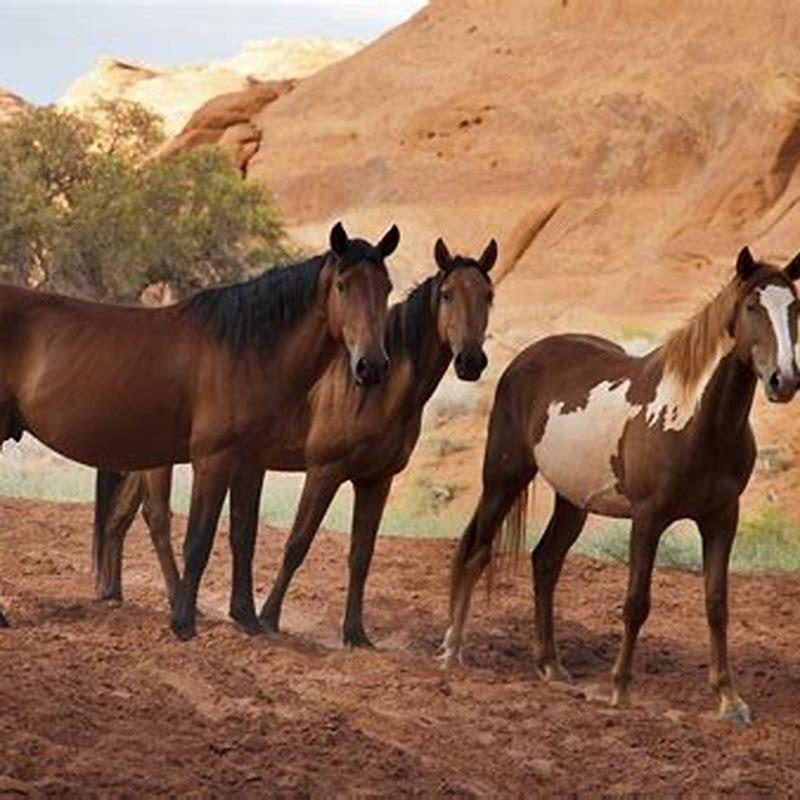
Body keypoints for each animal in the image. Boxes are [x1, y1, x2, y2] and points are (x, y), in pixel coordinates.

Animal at [0, 221, 398, 639]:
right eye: (343, 285)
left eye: (386, 287)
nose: (371, 365)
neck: (246, 351)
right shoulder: (213, 460)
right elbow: (198, 539)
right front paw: (183, 623)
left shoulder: (251, 462)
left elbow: (244, 535)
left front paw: (247, 618)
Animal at [93, 237, 497, 646]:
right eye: (446, 294)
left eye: (488, 296)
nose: (470, 361)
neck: (372, 391)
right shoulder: (324, 472)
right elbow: (297, 544)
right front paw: (269, 617)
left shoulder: (376, 481)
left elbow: (361, 555)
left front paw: (355, 634)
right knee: (157, 518)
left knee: (121, 514)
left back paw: (112, 591)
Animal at [440, 246, 800, 723]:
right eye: (752, 307)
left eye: (794, 307)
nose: (784, 380)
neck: (695, 420)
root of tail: (524, 359)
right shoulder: (648, 518)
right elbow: (636, 603)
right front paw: (621, 689)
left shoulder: (722, 518)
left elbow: (716, 605)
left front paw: (729, 699)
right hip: (503, 479)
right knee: (477, 551)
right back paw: (453, 651)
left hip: (572, 500)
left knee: (545, 562)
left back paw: (551, 665)